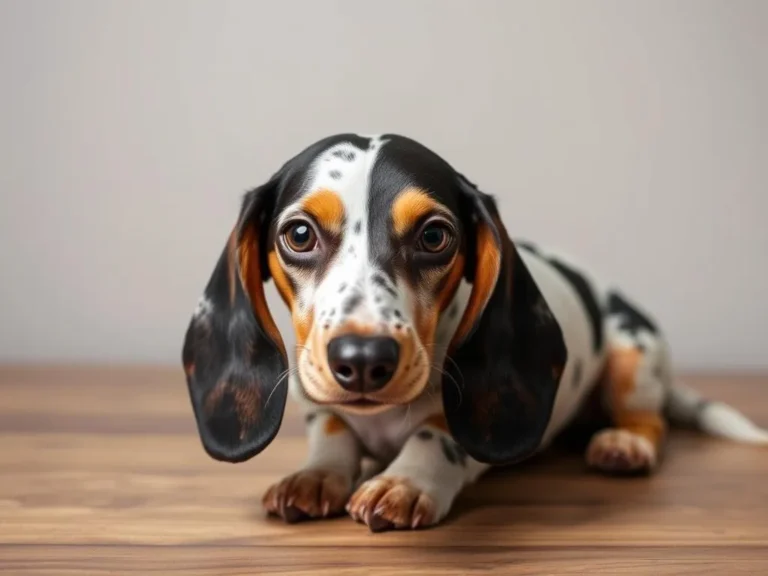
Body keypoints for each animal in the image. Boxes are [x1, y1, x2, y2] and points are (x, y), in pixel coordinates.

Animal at [182, 134, 768, 532]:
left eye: (434, 235)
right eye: (299, 234)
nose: (364, 359)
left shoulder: (456, 420)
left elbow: (438, 433)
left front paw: (405, 480)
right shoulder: (320, 402)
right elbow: (332, 432)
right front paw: (317, 473)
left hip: (633, 353)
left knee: (651, 420)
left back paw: (625, 443)